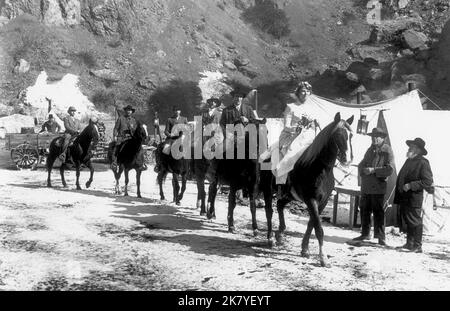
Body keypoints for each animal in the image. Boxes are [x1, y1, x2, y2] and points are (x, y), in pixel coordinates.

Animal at [262, 112, 354, 268]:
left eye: (351, 135)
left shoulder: (322, 203)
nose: (346, 159)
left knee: (279, 206)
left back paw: (280, 233)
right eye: (337, 135)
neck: (319, 168)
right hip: (268, 191)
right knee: (269, 212)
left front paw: (304, 249)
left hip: (289, 195)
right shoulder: (311, 200)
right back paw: (270, 239)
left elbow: (311, 224)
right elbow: (318, 228)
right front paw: (323, 258)